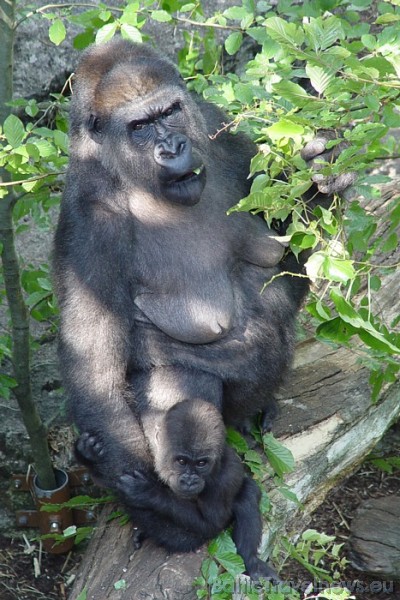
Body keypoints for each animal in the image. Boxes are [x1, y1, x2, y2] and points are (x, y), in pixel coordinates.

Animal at [77, 398, 278, 580]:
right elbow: (106, 479)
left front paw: (147, 493)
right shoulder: (152, 452)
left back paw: (250, 560)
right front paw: (86, 453)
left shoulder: (226, 478)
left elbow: (211, 525)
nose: (189, 480)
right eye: (181, 461)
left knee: (248, 494)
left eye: (201, 463)